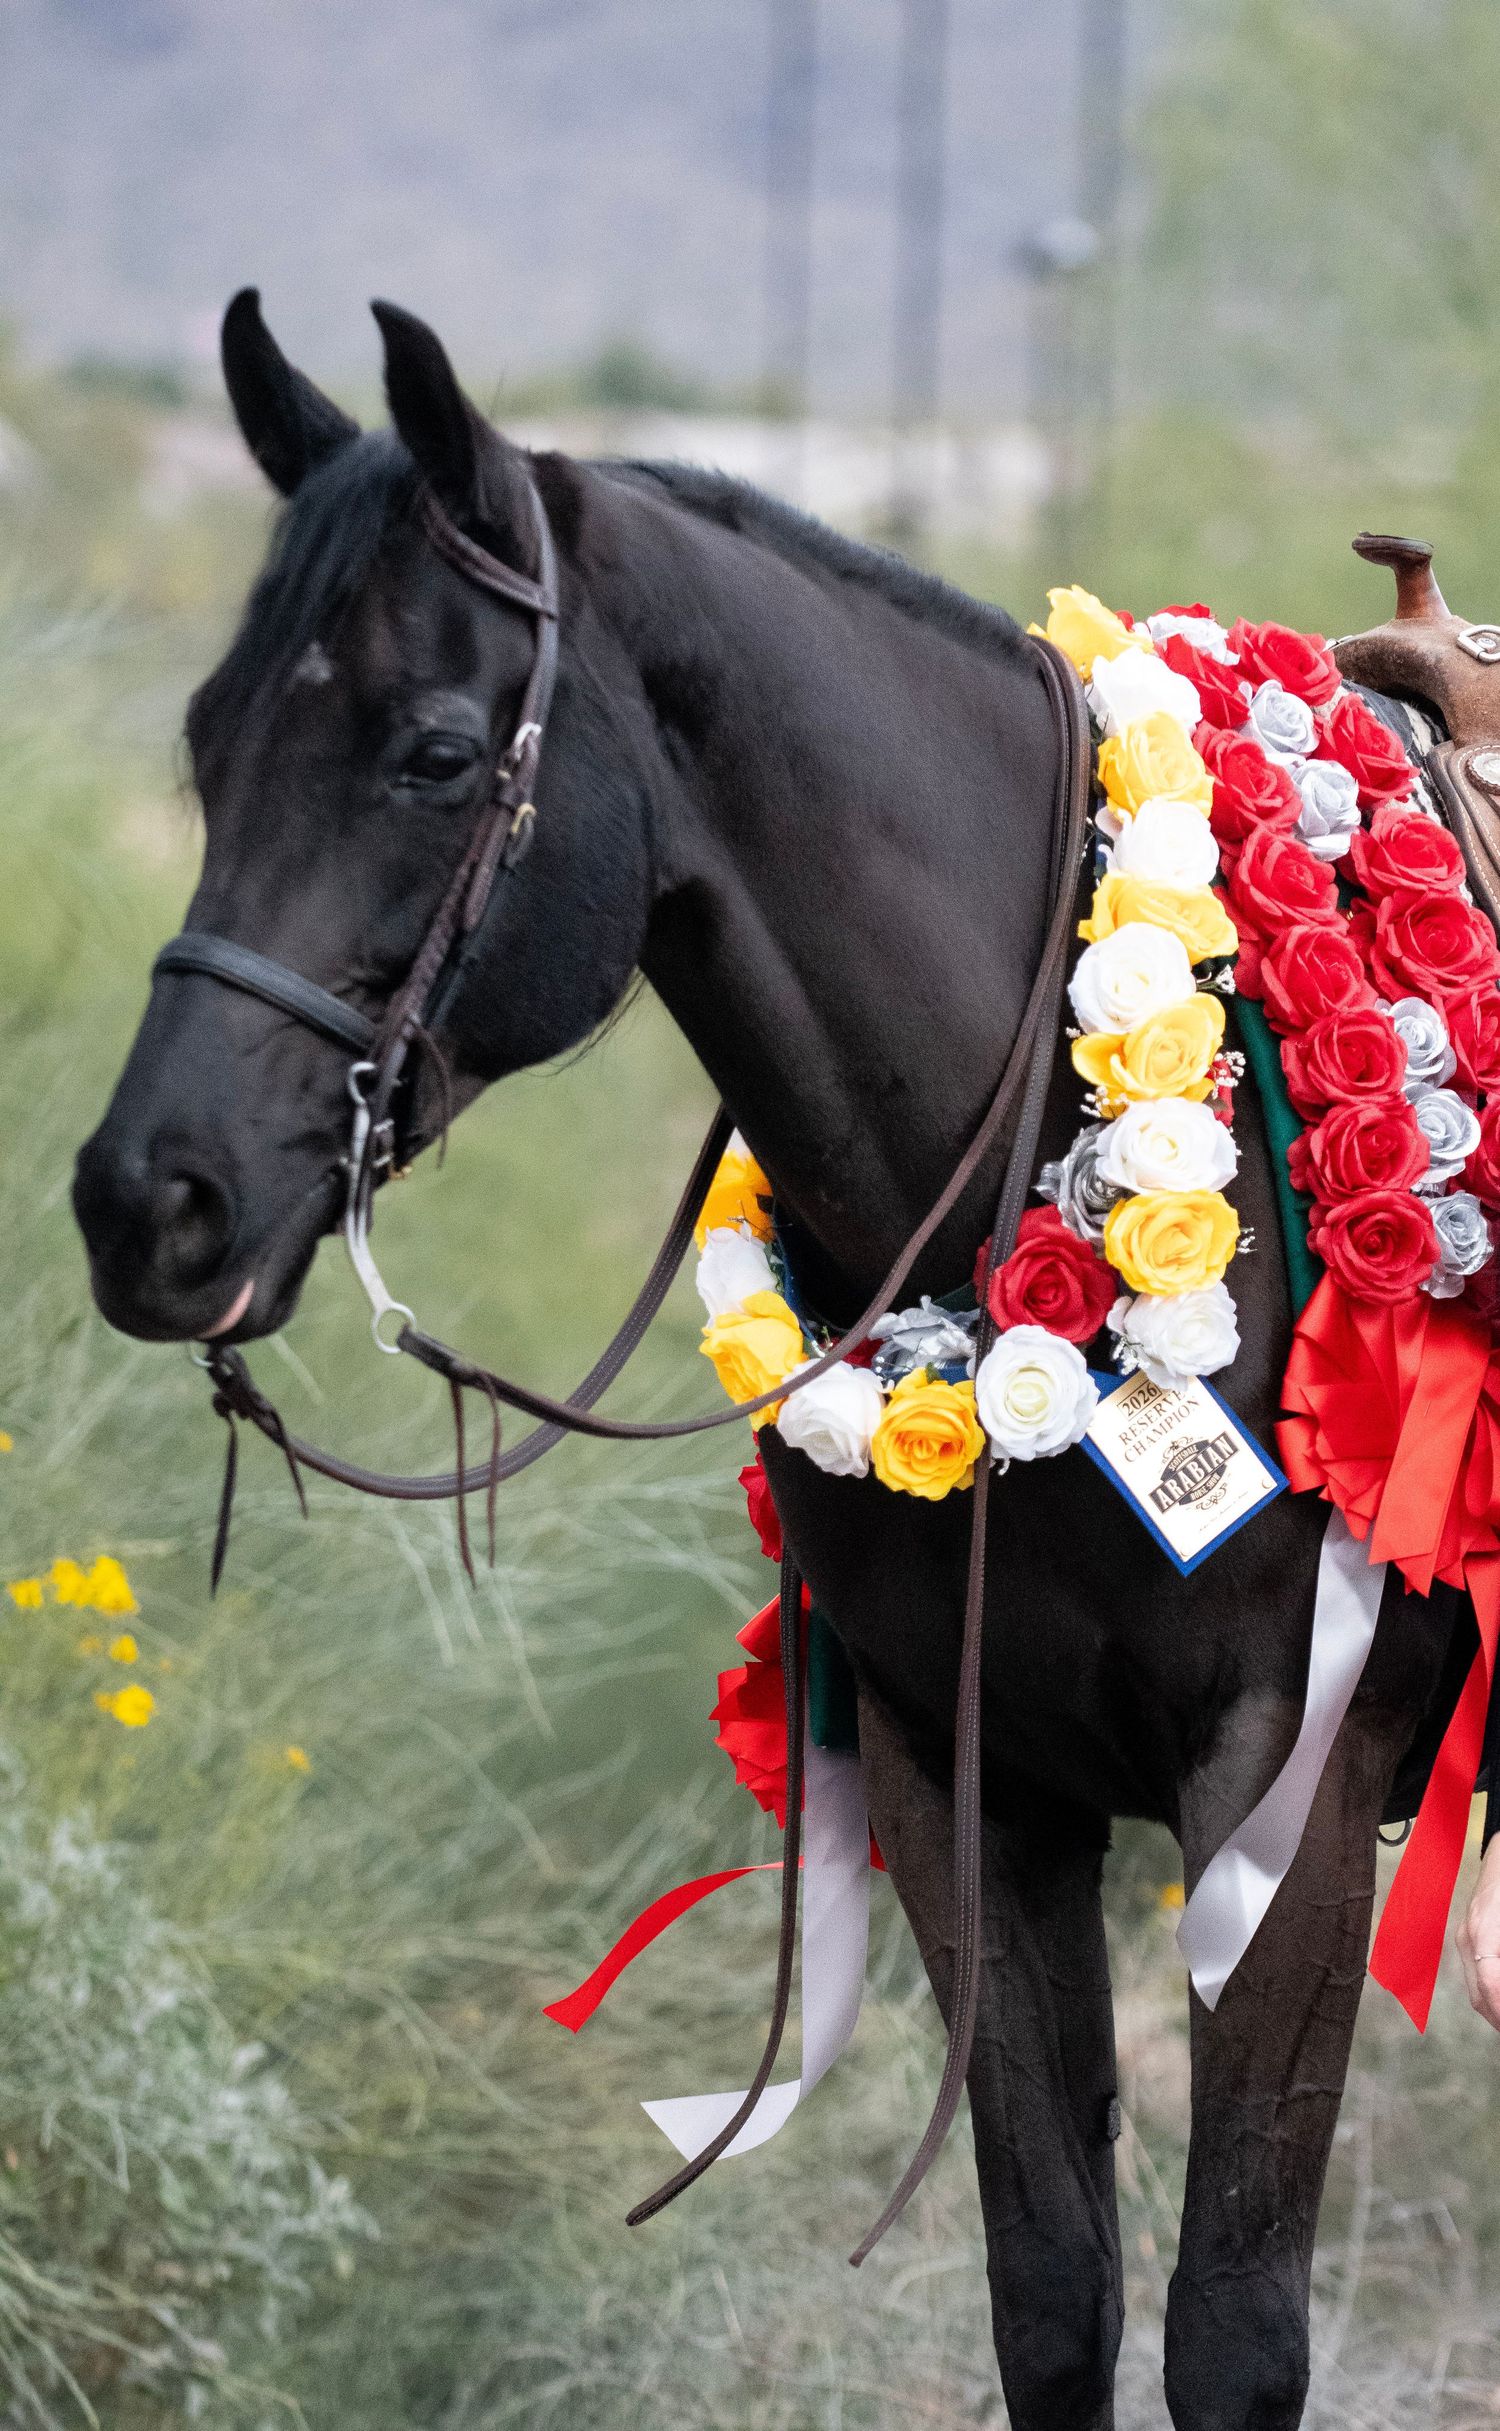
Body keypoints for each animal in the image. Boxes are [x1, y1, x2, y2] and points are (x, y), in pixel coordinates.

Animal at [71, 291, 1470, 2431]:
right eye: (210, 741)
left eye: (438, 751)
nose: (149, 1200)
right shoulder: (964, 1780)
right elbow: (1052, 2292)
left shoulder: (1291, 1787)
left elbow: (1232, 2332)